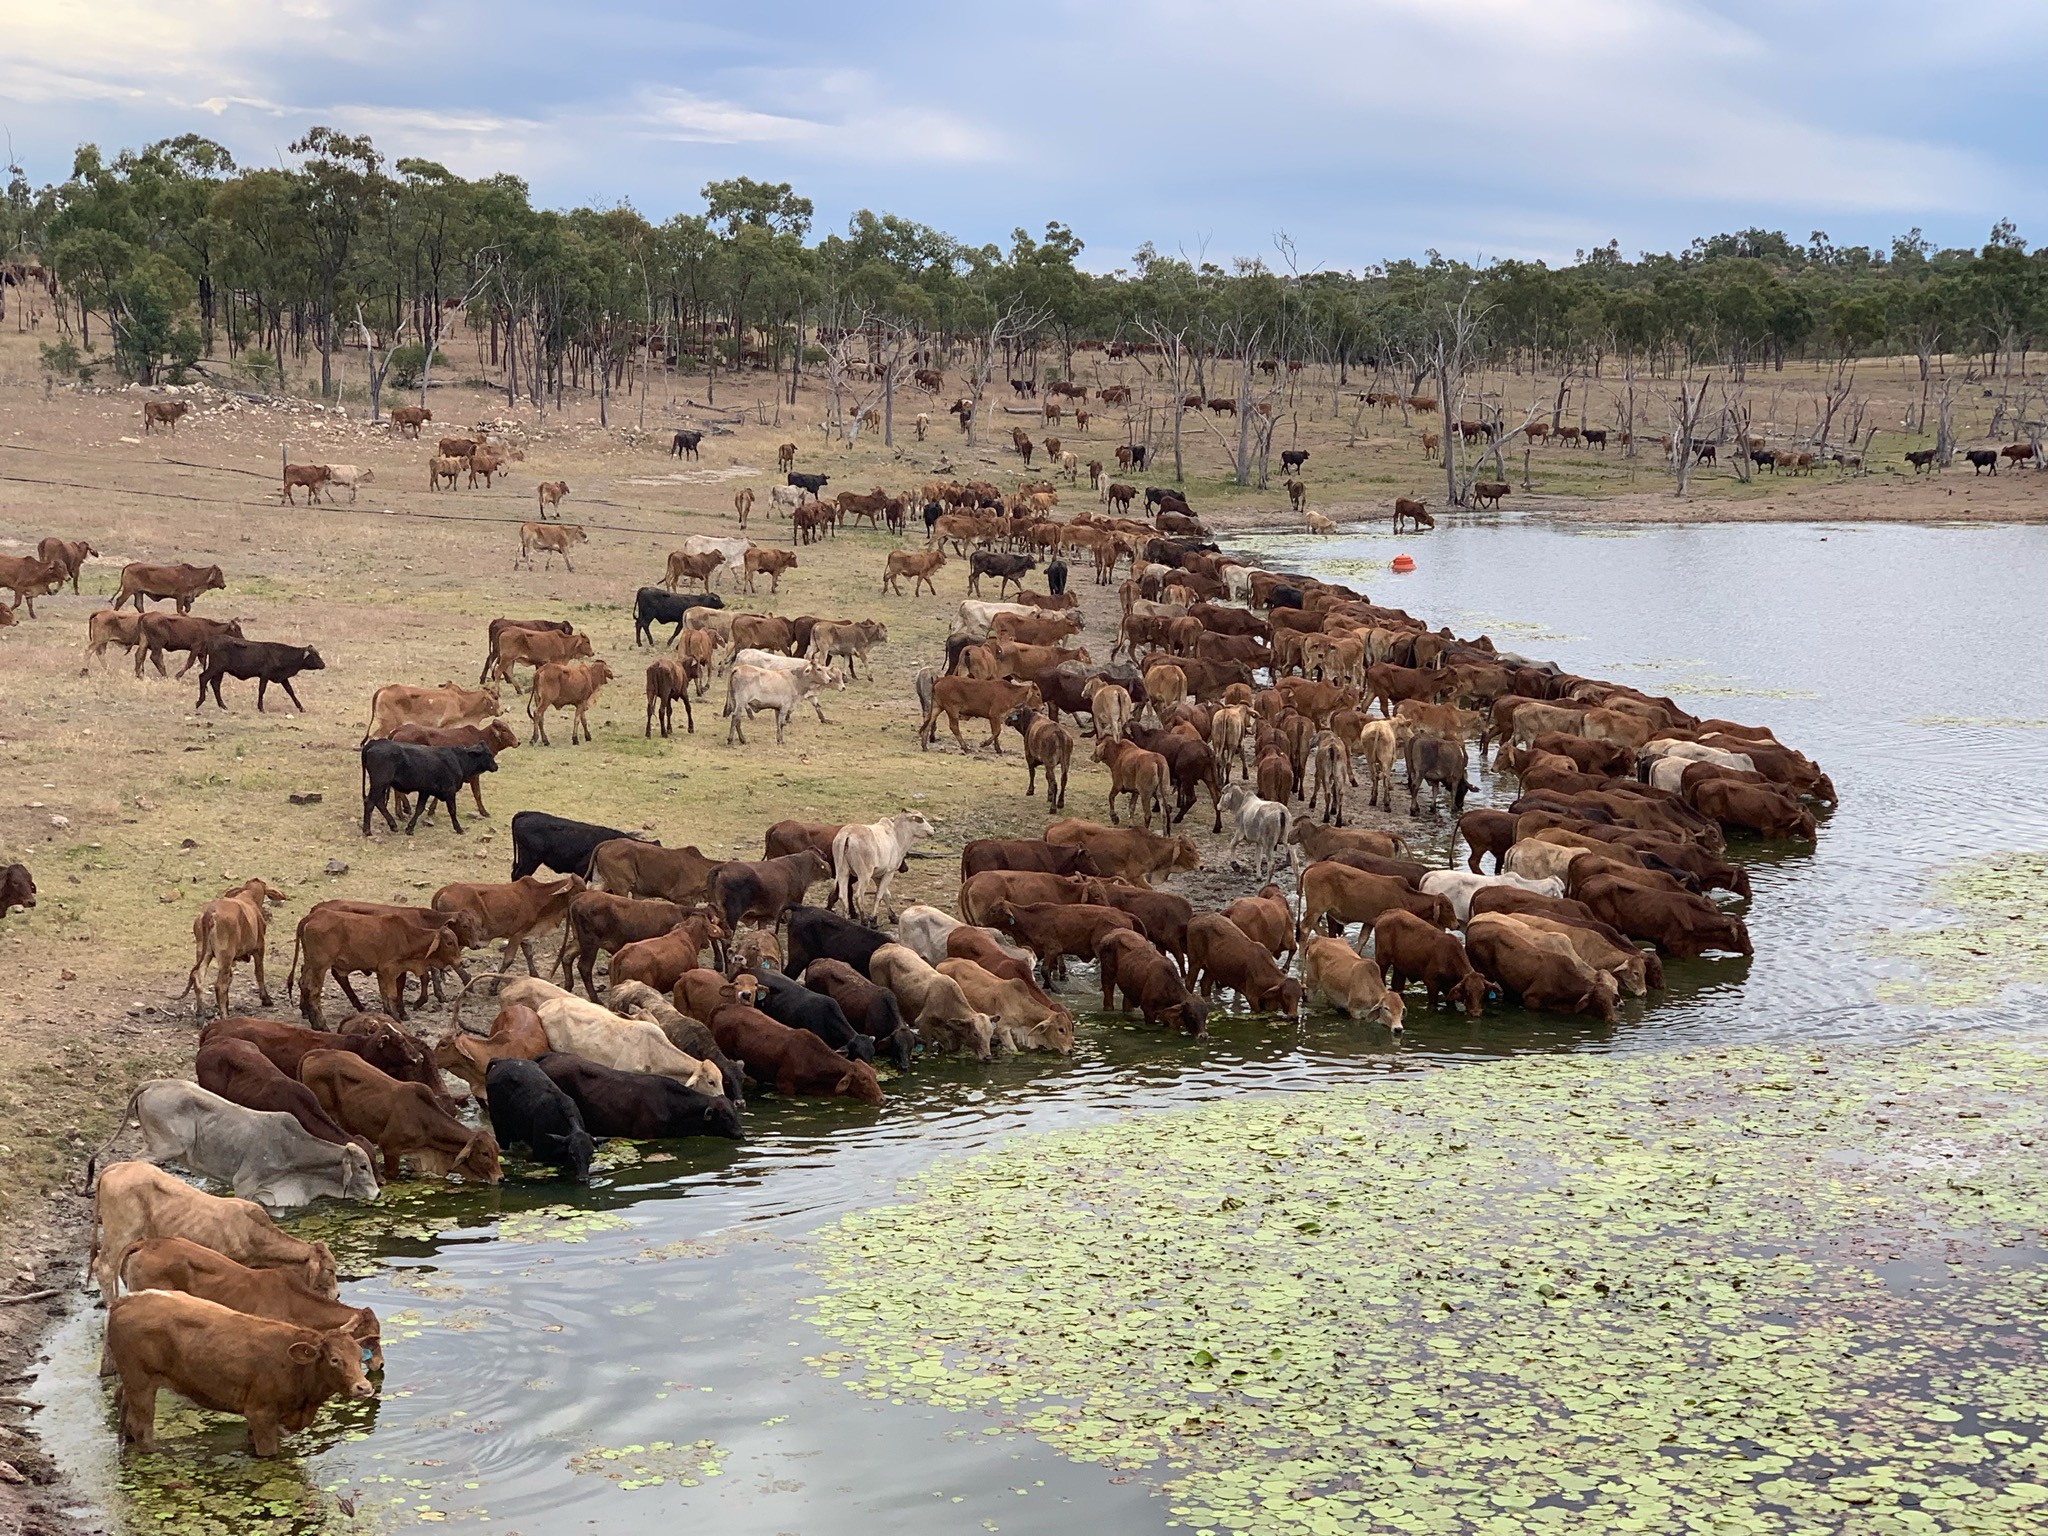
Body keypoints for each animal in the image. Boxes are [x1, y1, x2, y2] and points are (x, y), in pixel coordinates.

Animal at [89, 1160, 339, 1301]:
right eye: (330, 1270)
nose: (337, 1294)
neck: (254, 1235)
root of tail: (119, 1166)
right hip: (121, 1230)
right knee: (103, 1266)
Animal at [104, 1290, 373, 1456]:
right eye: (335, 1359)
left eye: (360, 1355)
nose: (364, 1387)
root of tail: (126, 1300)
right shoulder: (261, 1414)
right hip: (141, 1381)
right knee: (140, 1425)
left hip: (131, 1382)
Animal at [118, 1080, 380, 1207]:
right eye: (363, 1166)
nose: (378, 1193)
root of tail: (154, 1084)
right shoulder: (243, 1183)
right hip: (164, 1146)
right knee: (135, 1161)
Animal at [179, 878, 286, 1019]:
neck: (250, 897)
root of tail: (210, 912)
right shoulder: (259, 947)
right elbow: (259, 973)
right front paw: (266, 999)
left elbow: (230, 979)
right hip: (225, 954)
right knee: (219, 985)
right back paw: (224, 1016)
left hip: (204, 952)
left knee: (199, 978)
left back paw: (201, 1014)